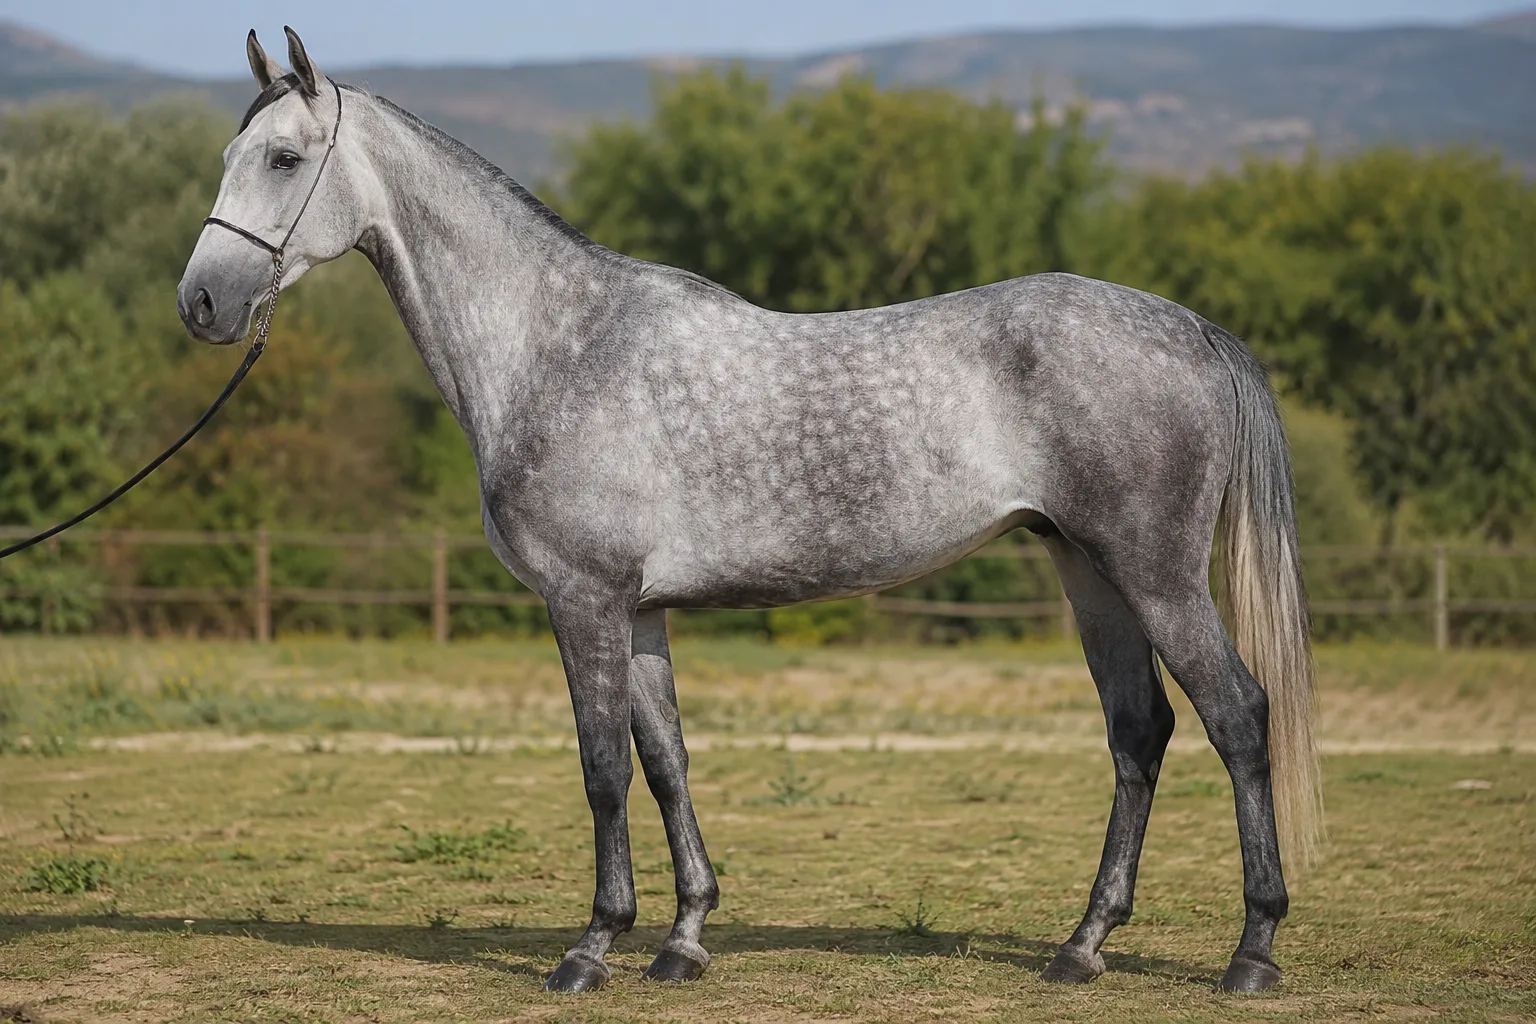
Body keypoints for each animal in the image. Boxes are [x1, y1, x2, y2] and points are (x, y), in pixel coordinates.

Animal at [177, 27, 1322, 996]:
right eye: (234, 152)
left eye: (284, 158)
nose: (201, 303)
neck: (558, 345)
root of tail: (1193, 328)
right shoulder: (639, 612)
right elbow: (666, 763)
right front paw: (683, 939)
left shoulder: (584, 601)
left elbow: (601, 769)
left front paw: (591, 948)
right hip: (1089, 571)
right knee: (1140, 733)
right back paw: (1082, 946)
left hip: (1155, 574)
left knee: (1237, 715)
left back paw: (1253, 952)